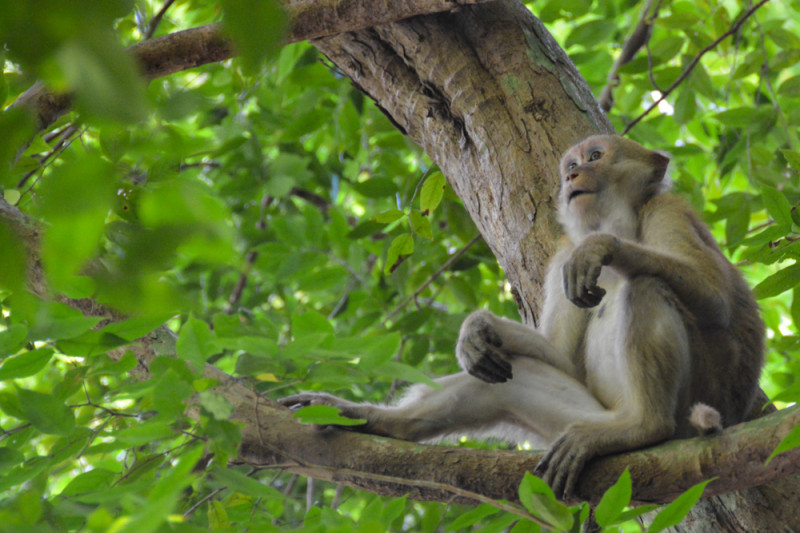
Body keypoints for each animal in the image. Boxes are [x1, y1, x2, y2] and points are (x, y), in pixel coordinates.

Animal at [278, 134, 764, 498]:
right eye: (571, 162)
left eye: (595, 156)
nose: (571, 175)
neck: (619, 220)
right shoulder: (561, 256)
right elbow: (561, 357)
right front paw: (477, 328)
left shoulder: (667, 211)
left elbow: (714, 296)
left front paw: (602, 247)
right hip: (588, 417)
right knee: (513, 377)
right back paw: (379, 421)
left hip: (696, 401)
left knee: (648, 285)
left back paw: (647, 426)